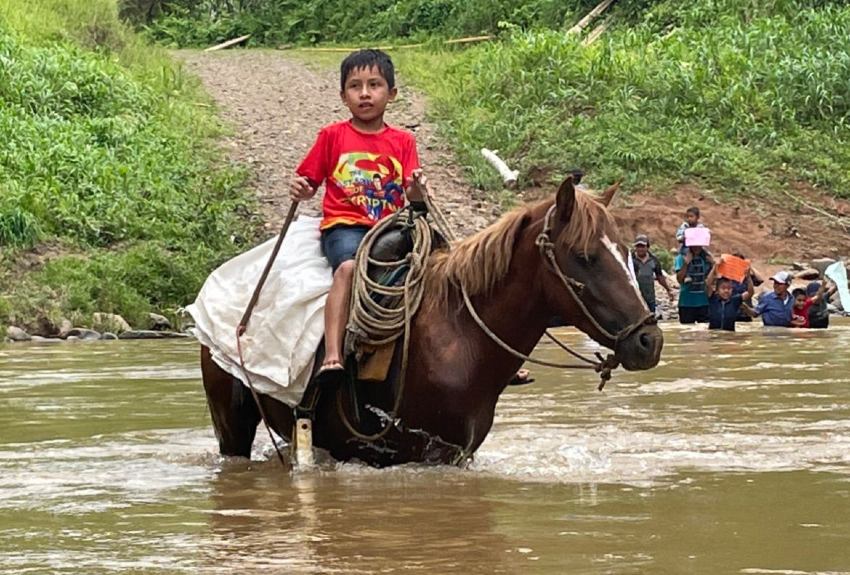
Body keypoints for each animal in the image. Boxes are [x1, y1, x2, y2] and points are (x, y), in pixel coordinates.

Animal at [199, 177, 664, 468]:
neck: (460, 338)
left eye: (625, 251)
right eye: (585, 256)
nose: (649, 340)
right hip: (230, 425)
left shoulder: (457, 455)